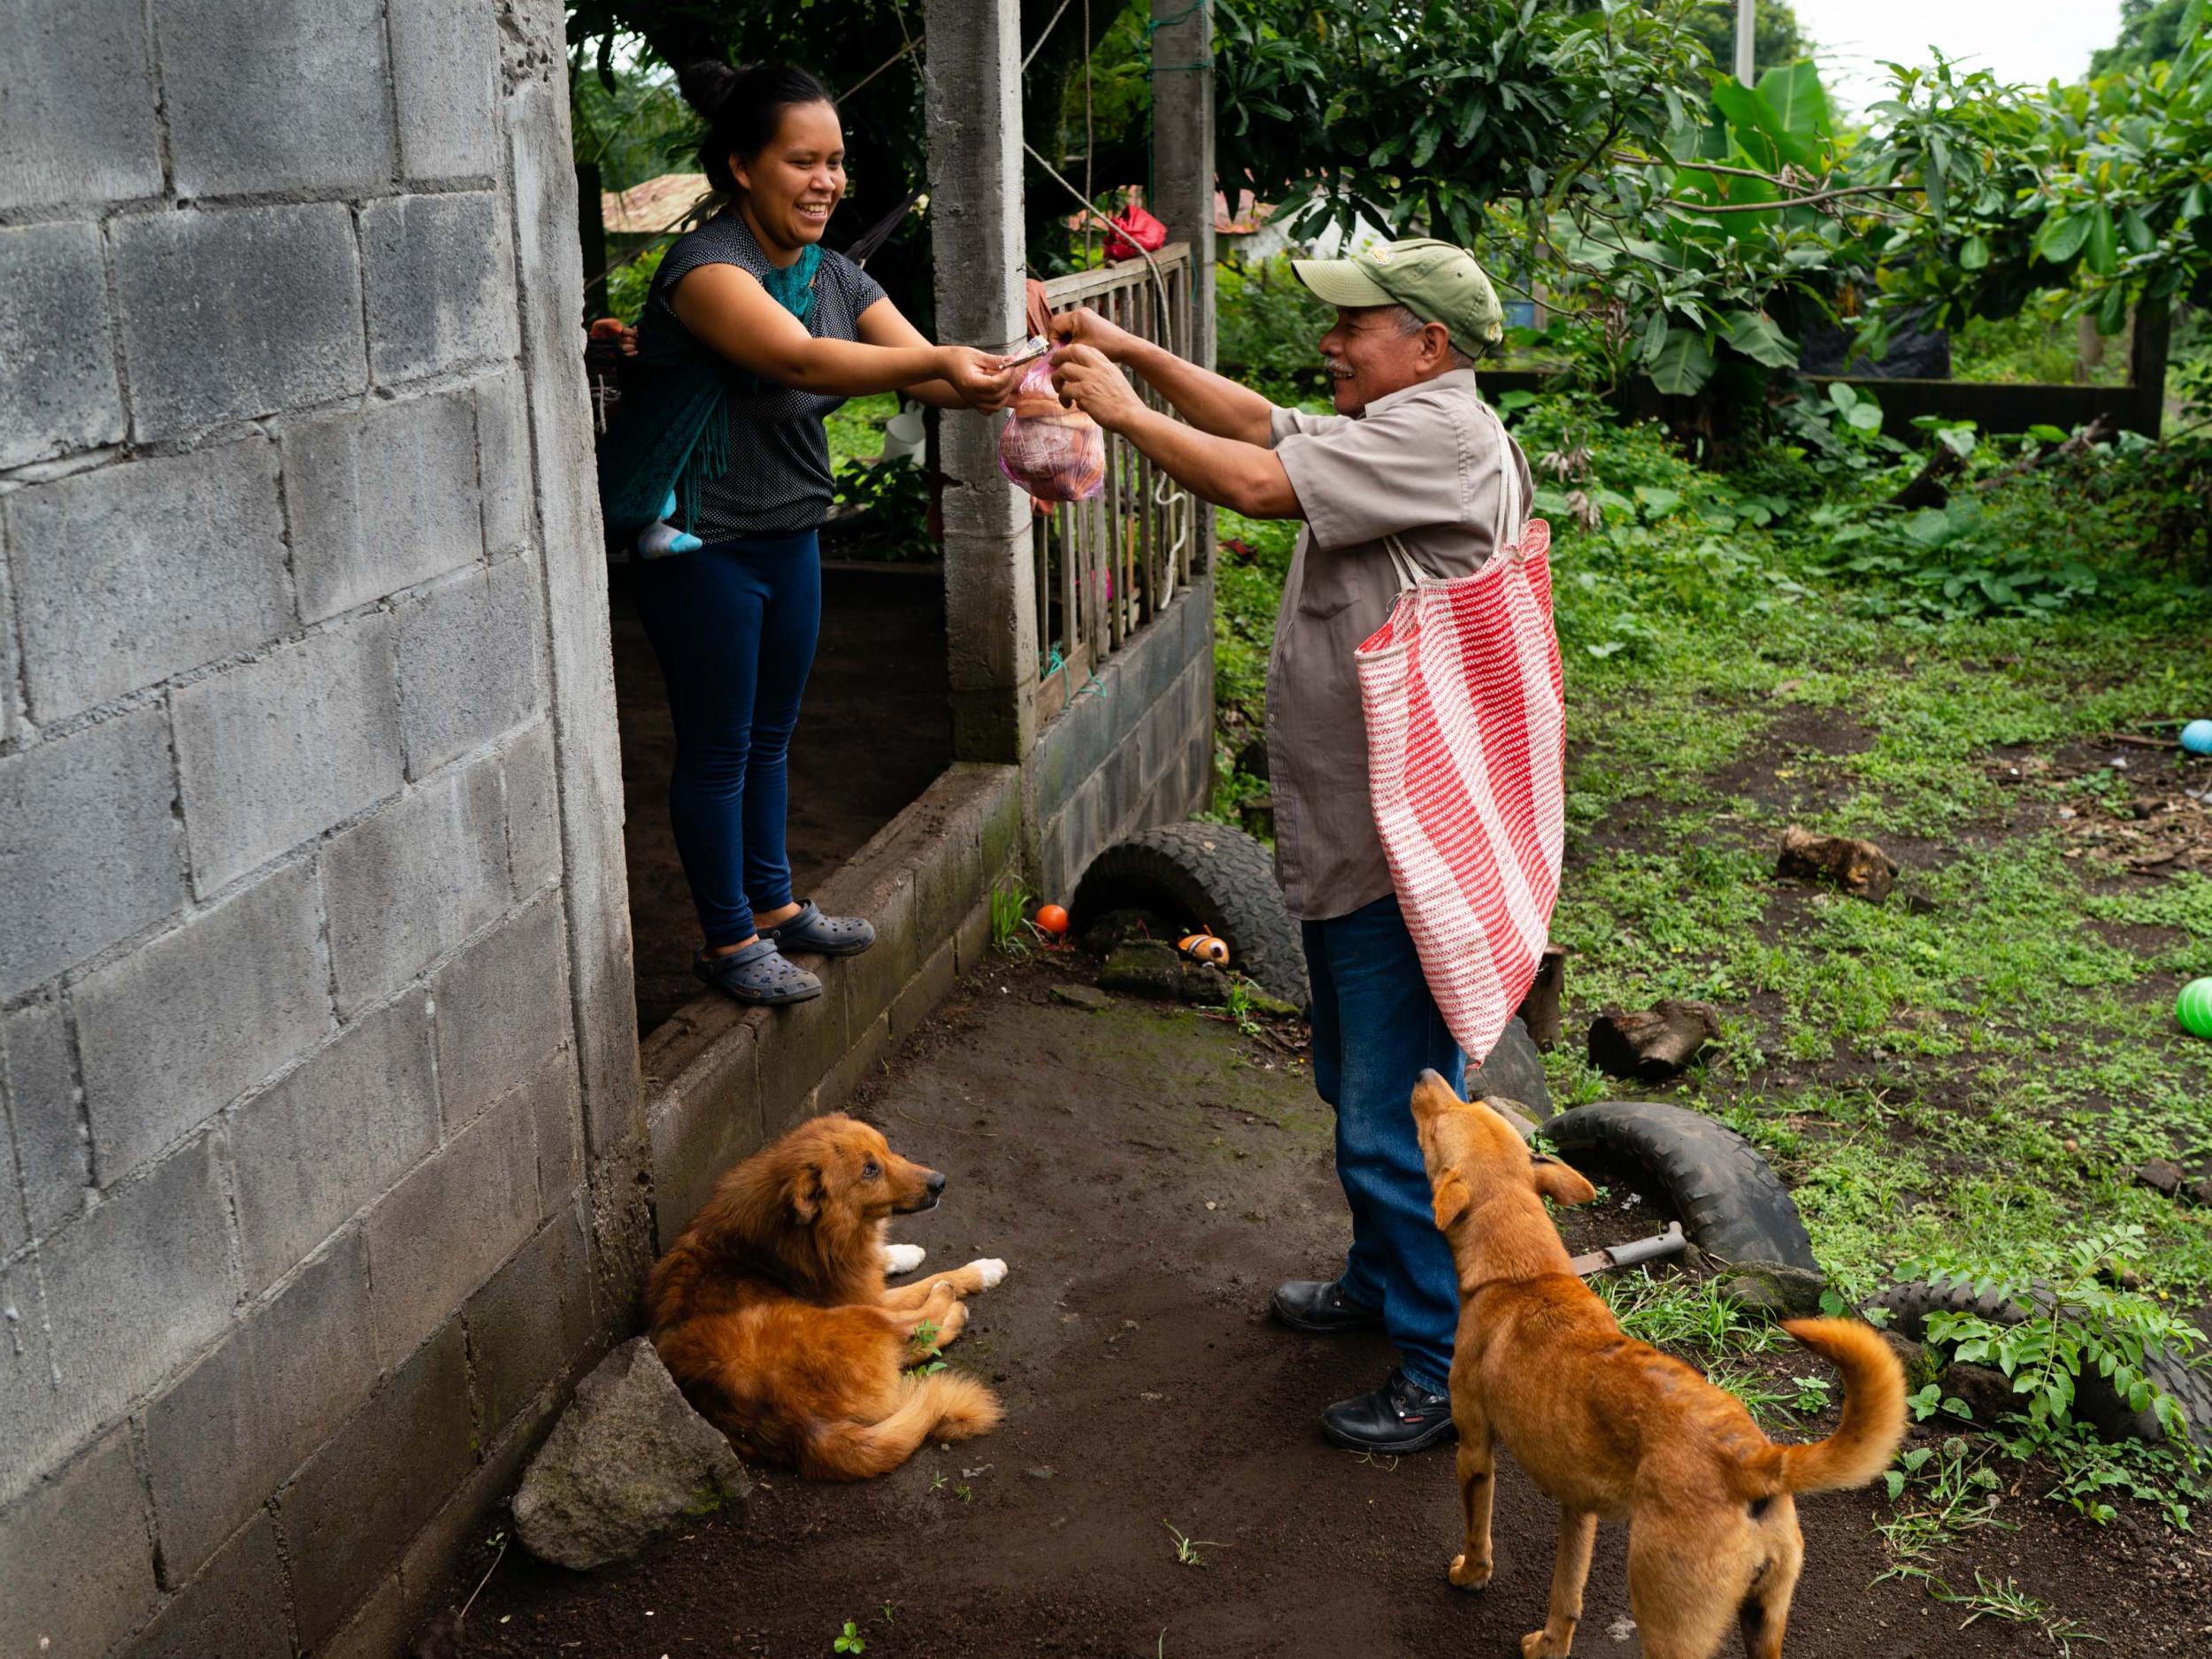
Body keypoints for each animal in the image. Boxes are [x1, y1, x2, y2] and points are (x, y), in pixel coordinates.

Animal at [646, 1119, 1013, 1478]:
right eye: (869, 1170)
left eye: (886, 1150)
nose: (941, 1182)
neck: (812, 1230)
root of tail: (798, 1426)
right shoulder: (870, 1299)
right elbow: (930, 1280)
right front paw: (981, 1270)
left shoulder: (862, 1279)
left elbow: (879, 1263)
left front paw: (901, 1253)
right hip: (852, 1315)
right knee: (914, 1328)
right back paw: (953, 1306)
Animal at [1416, 1079, 1920, 1659]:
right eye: (1466, 1106)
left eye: (1438, 1125)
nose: (1427, 1074)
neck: (1523, 1274)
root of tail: (1755, 1460)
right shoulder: (1578, 1506)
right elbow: (1567, 1593)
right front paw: (1550, 1643)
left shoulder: (1475, 1450)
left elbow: (1478, 1531)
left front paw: (1471, 1574)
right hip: (1764, 1619)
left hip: (1667, 1619)